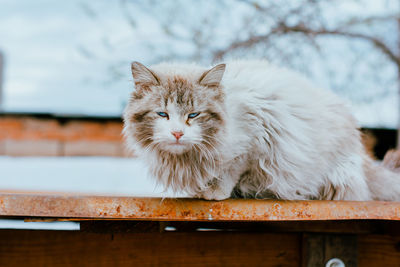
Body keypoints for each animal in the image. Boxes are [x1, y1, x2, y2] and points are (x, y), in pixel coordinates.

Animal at [123, 60, 400, 201]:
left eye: (194, 115)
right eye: (162, 114)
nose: (178, 134)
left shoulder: (254, 140)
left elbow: (230, 171)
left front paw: (215, 192)